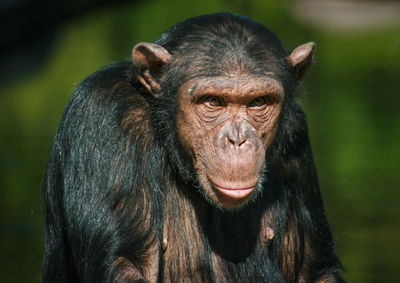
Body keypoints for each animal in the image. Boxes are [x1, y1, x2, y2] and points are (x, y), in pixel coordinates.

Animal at [43, 12, 344, 282]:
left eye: (258, 102)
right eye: (213, 101)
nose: (237, 139)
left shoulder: (297, 134)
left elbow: (313, 270)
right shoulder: (106, 112)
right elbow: (126, 262)